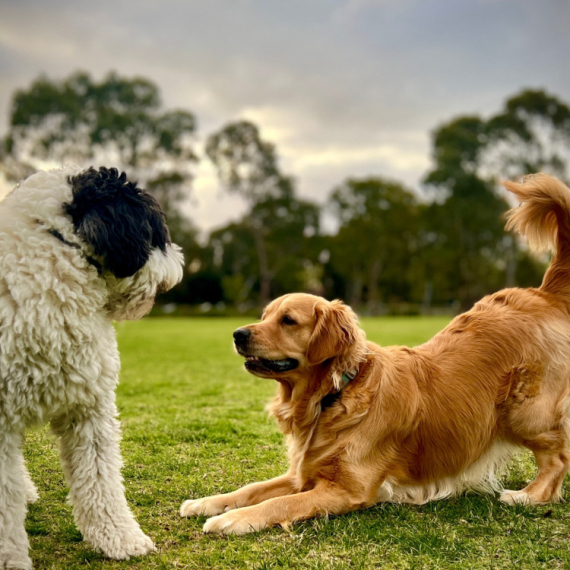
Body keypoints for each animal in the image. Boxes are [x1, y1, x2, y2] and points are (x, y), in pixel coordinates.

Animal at [0, 166, 182, 564]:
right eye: (157, 233)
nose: (180, 263)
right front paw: (11, 560)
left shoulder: (88, 406)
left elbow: (100, 479)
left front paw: (120, 539)